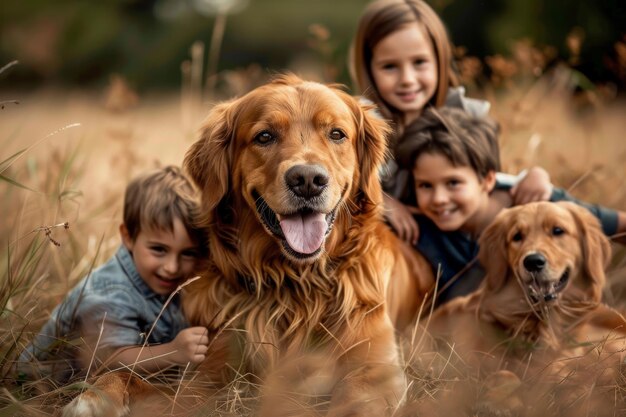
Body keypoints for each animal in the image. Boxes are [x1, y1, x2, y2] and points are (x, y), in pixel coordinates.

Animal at [62, 75, 434, 416]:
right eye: (264, 136)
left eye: (337, 134)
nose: (307, 180)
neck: (293, 285)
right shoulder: (207, 379)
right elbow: (129, 378)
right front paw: (92, 398)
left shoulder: (374, 373)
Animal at [416, 201, 626, 412]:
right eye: (517, 236)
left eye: (558, 231)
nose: (533, 262)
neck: (537, 323)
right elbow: (501, 375)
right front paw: (499, 401)